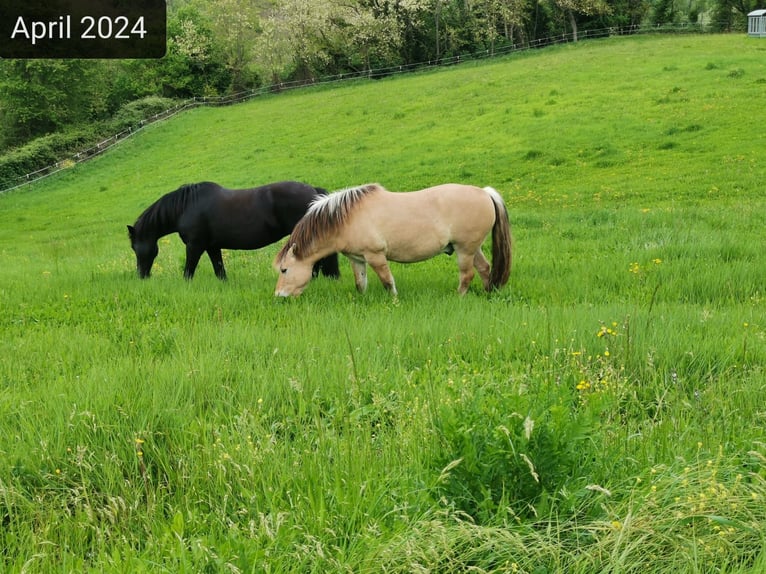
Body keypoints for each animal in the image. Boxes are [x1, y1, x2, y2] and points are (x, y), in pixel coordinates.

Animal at [128, 179, 340, 280]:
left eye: (135, 248)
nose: (142, 275)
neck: (186, 206)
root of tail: (314, 192)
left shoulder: (195, 245)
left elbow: (189, 270)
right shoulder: (212, 246)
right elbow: (219, 270)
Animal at [272, 184, 512, 300]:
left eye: (284, 270)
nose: (279, 296)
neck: (348, 217)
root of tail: (485, 193)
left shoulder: (375, 256)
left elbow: (387, 281)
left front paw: (394, 301)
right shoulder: (357, 259)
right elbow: (360, 283)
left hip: (465, 249)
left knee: (467, 275)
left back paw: (459, 297)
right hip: (473, 248)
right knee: (484, 268)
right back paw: (489, 292)